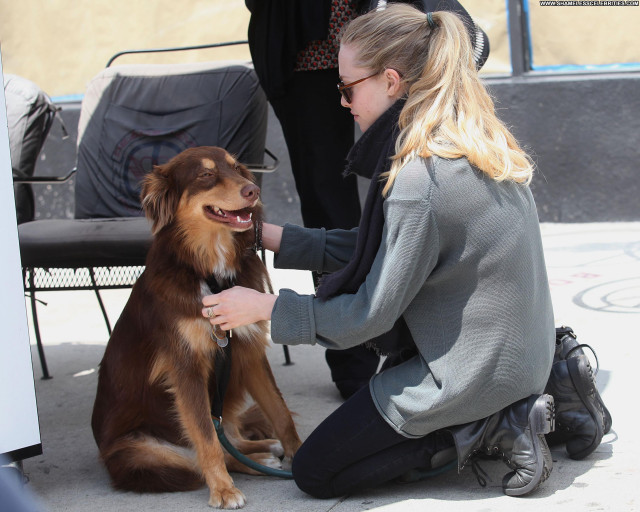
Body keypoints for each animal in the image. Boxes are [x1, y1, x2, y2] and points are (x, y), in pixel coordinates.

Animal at [91, 147, 304, 508]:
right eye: (205, 175)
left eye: (236, 168)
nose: (253, 190)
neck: (211, 271)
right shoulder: (185, 366)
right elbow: (206, 438)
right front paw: (223, 490)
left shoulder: (248, 352)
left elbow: (280, 412)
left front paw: (299, 453)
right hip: (143, 454)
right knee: (212, 452)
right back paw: (253, 461)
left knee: (231, 437)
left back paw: (263, 450)